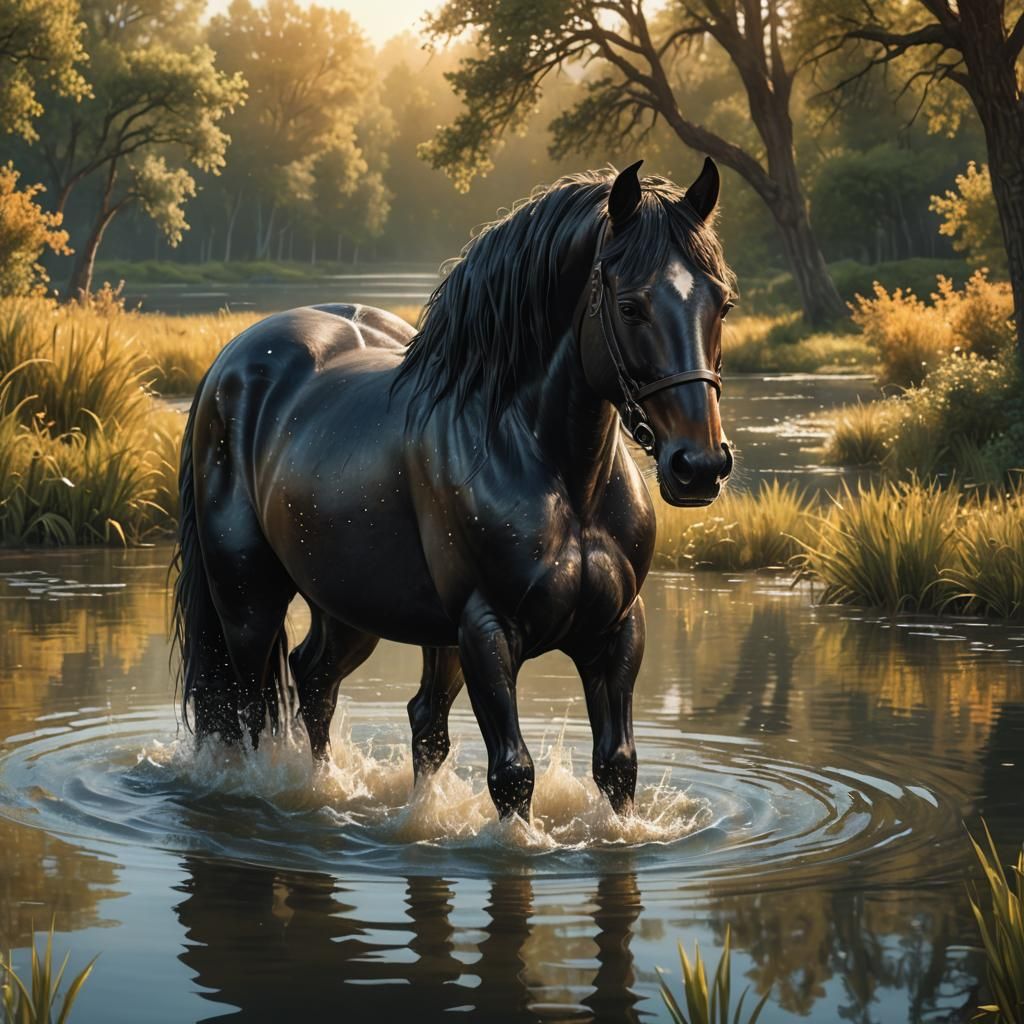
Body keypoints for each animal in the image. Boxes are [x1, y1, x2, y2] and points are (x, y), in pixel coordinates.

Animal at [171, 158, 736, 821]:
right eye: (629, 307)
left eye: (722, 303)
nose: (699, 466)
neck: (561, 478)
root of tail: (231, 366)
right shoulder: (486, 631)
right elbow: (512, 774)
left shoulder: (617, 630)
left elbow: (616, 765)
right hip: (249, 604)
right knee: (250, 708)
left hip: (354, 606)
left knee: (324, 685)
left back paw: (333, 788)